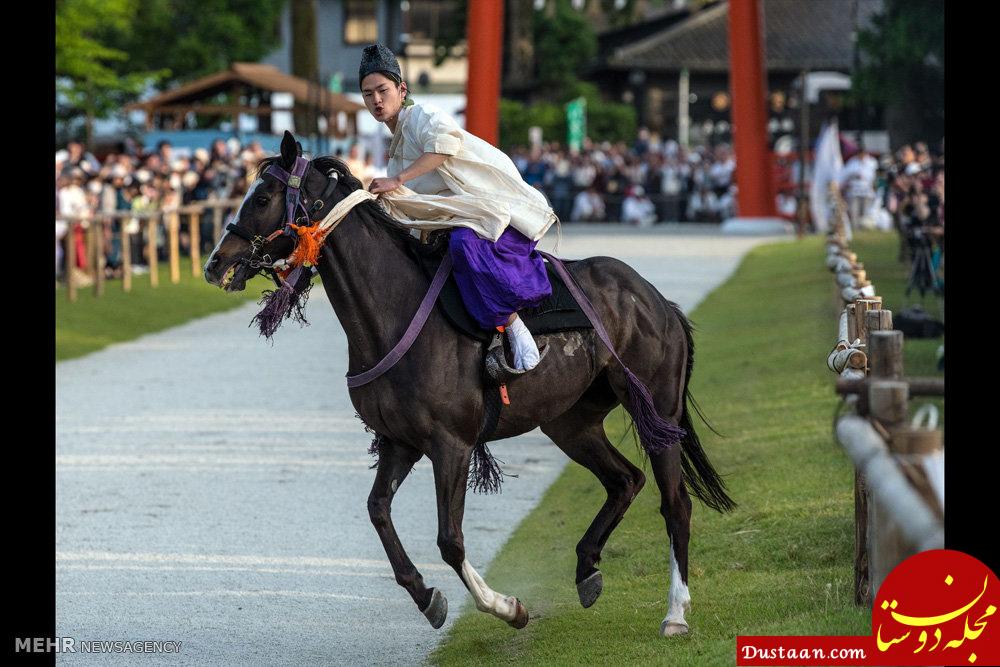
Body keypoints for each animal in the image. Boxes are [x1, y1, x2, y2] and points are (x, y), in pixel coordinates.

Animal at [205, 130, 736, 636]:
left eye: (262, 196)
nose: (215, 263)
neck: (391, 313)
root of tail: (656, 299)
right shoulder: (399, 440)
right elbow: (378, 511)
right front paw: (426, 595)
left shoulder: (451, 443)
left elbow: (450, 540)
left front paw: (506, 607)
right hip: (570, 421)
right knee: (625, 480)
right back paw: (587, 568)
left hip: (655, 408)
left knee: (675, 503)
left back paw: (675, 613)